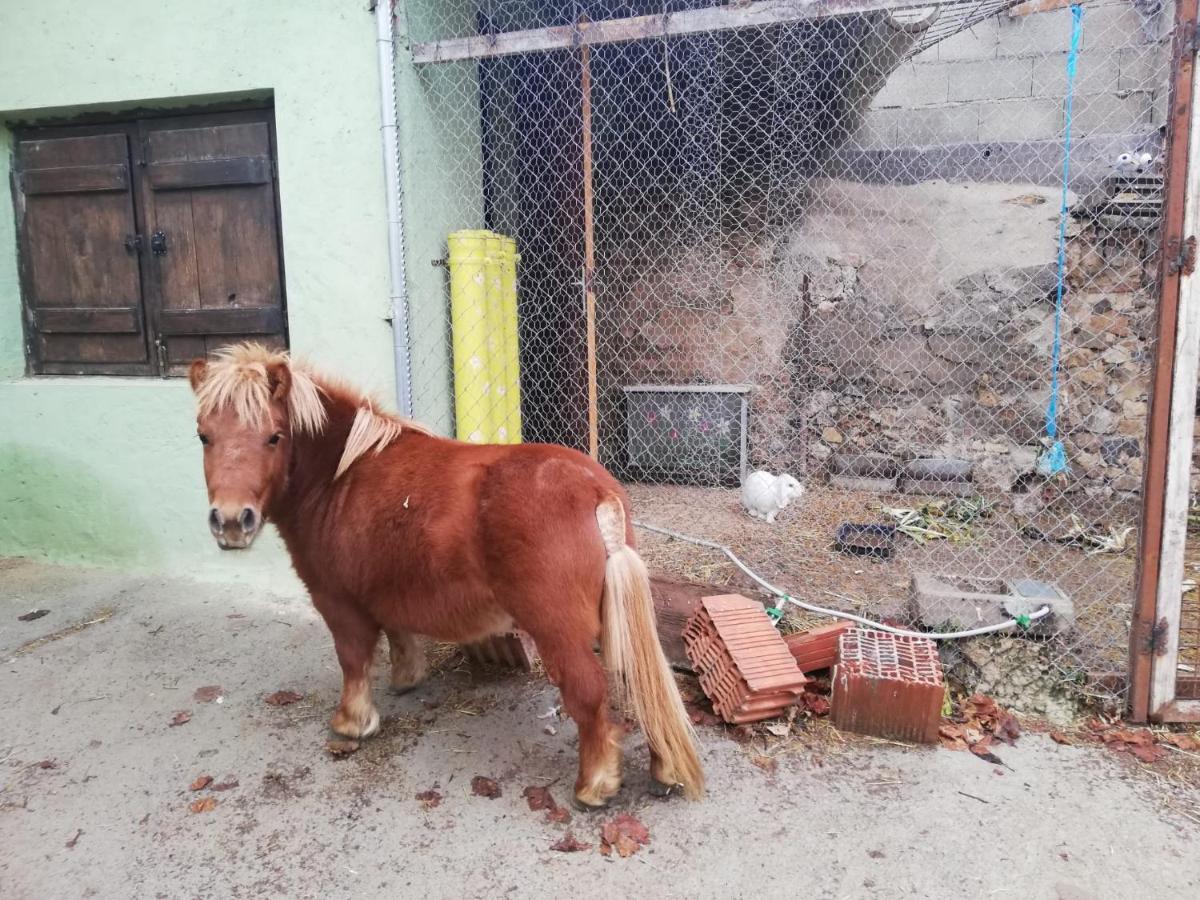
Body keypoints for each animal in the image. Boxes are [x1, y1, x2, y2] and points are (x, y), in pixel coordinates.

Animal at [187, 343, 700, 801]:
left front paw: (352, 723)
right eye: (203, 436)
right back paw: (663, 770)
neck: (339, 476)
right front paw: (406, 678)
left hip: (559, 630)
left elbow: (353, 661)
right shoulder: (384, 589)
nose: (231, 521)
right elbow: (399, 637)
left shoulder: (337, 600)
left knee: (590, 694)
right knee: (639, 680)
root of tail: (596, 489)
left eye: (274, 436)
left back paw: (594, 787)